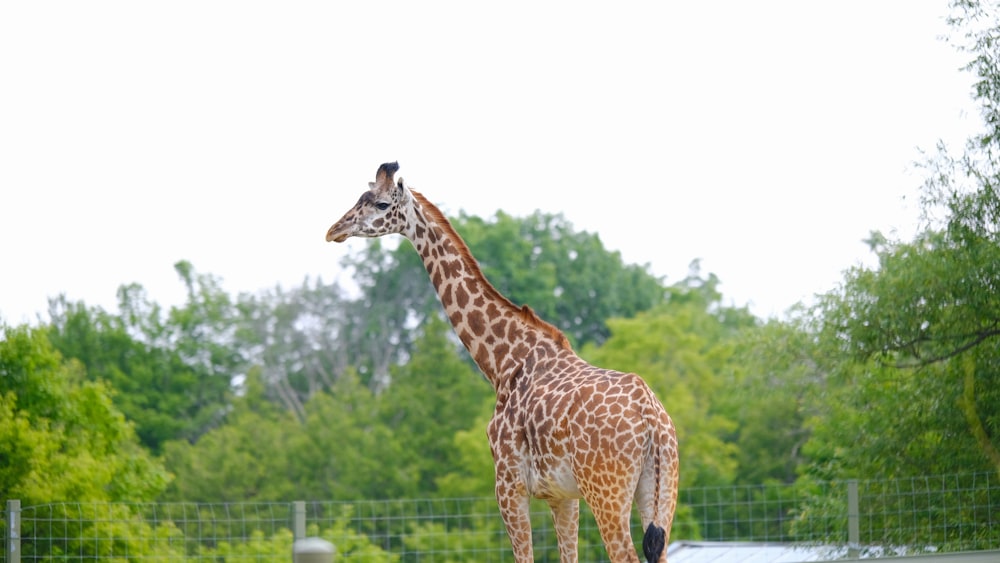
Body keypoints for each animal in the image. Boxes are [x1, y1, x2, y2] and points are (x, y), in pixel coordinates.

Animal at [326, 161, 680, 560]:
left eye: (382, 204)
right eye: (360, 197)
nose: (334, 230)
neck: (503, 362)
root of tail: (652, 418)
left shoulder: (508, 483)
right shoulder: (562, 495)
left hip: (606, 490)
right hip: (659, 491)